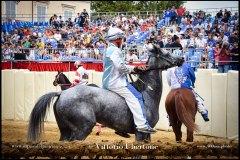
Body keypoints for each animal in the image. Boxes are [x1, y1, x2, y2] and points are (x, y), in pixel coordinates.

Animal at [27, 44, 183, 142]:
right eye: (166, 53)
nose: (181, 58)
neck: (147, 94)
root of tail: (62, 94)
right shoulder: (141, 133)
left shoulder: (147, 136)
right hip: (81, 130)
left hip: (65, 131)